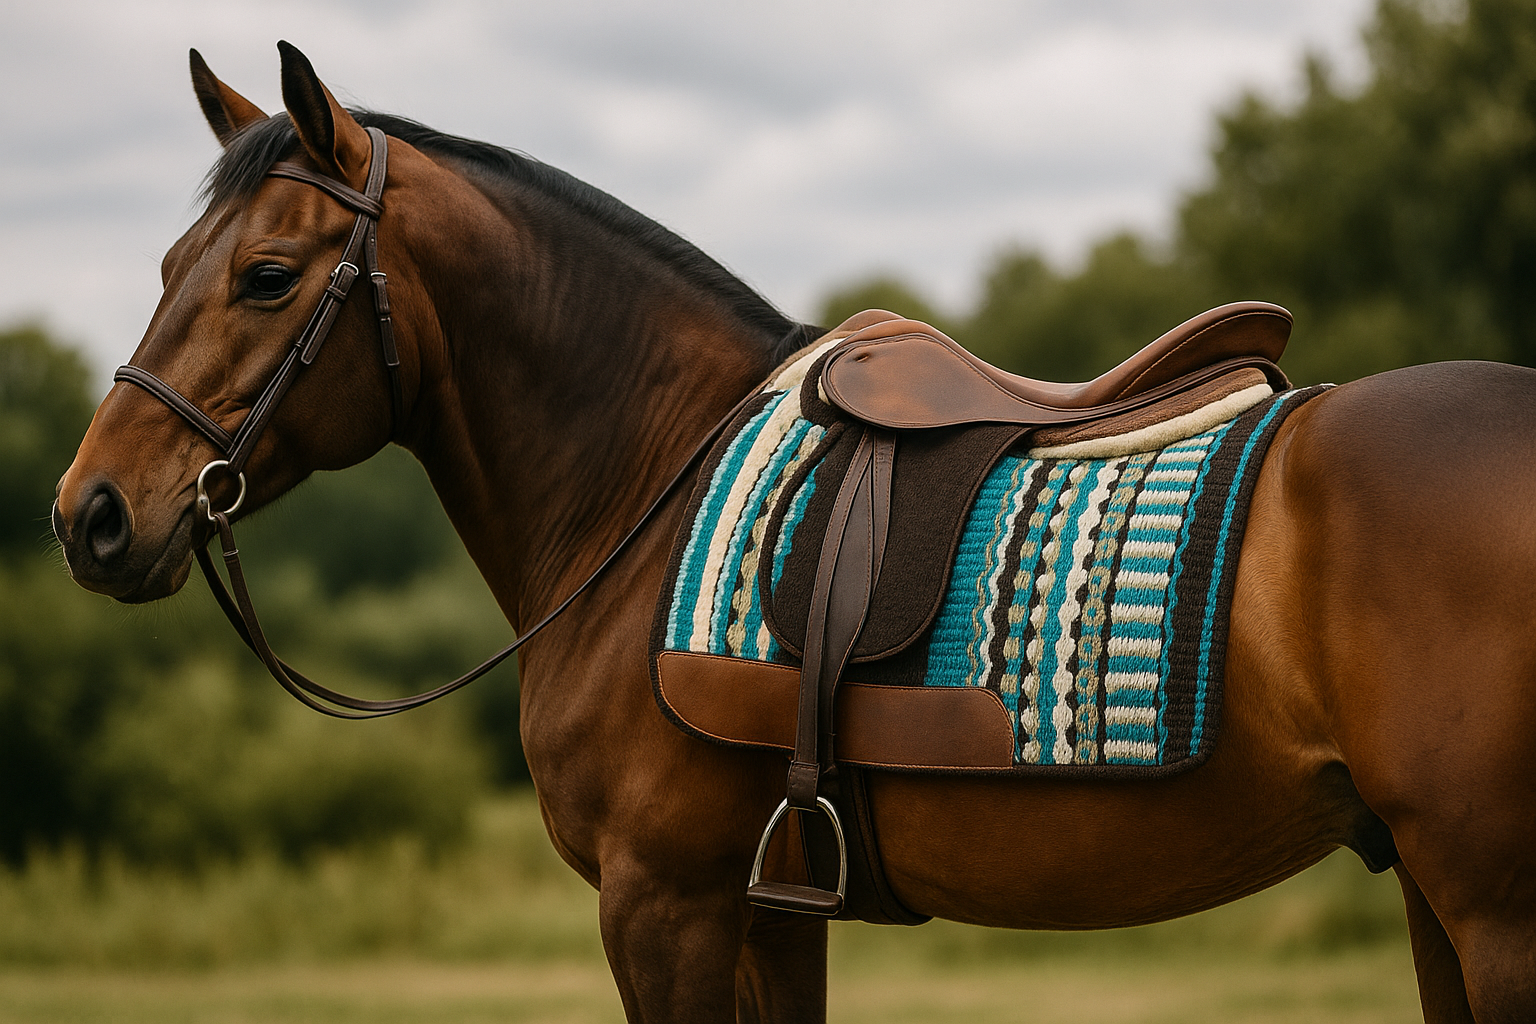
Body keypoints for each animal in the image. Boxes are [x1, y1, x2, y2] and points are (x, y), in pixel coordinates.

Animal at [51, 43, 1535, 1022]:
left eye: (266, 277)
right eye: (169, 267)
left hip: (1493, 907)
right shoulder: (770, 912)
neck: (645, 482)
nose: (91, 514)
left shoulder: (665, 902)